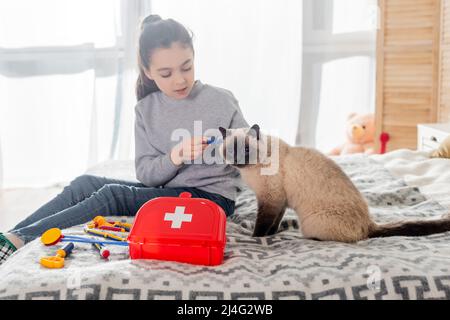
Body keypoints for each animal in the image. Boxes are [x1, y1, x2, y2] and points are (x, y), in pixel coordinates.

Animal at [218, 125, 450, 242]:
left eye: (245, 149)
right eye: (230, 150)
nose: (238, 159)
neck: (251, 170)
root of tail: (369, 224)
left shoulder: (271, 199)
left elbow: (262, 225)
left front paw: (257, 238)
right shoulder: (279, 201)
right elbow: (274, 223)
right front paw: (273, 234)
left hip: (310, 222)